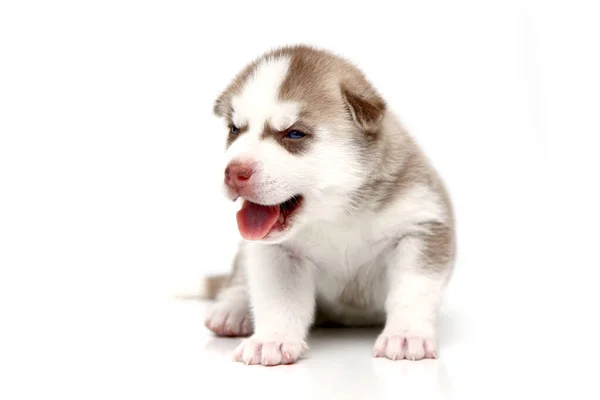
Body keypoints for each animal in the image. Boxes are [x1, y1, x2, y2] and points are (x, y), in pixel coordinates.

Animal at [204, 44, 458, 366]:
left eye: (294, 133)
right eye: (235, 129)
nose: (233, 172)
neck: (336, 215)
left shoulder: (421, 227)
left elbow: (413, 289)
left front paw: (405, 334)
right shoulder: (278, 253)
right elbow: (278, 299)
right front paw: (271, 339)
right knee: (237, 278)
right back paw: (232, 311)